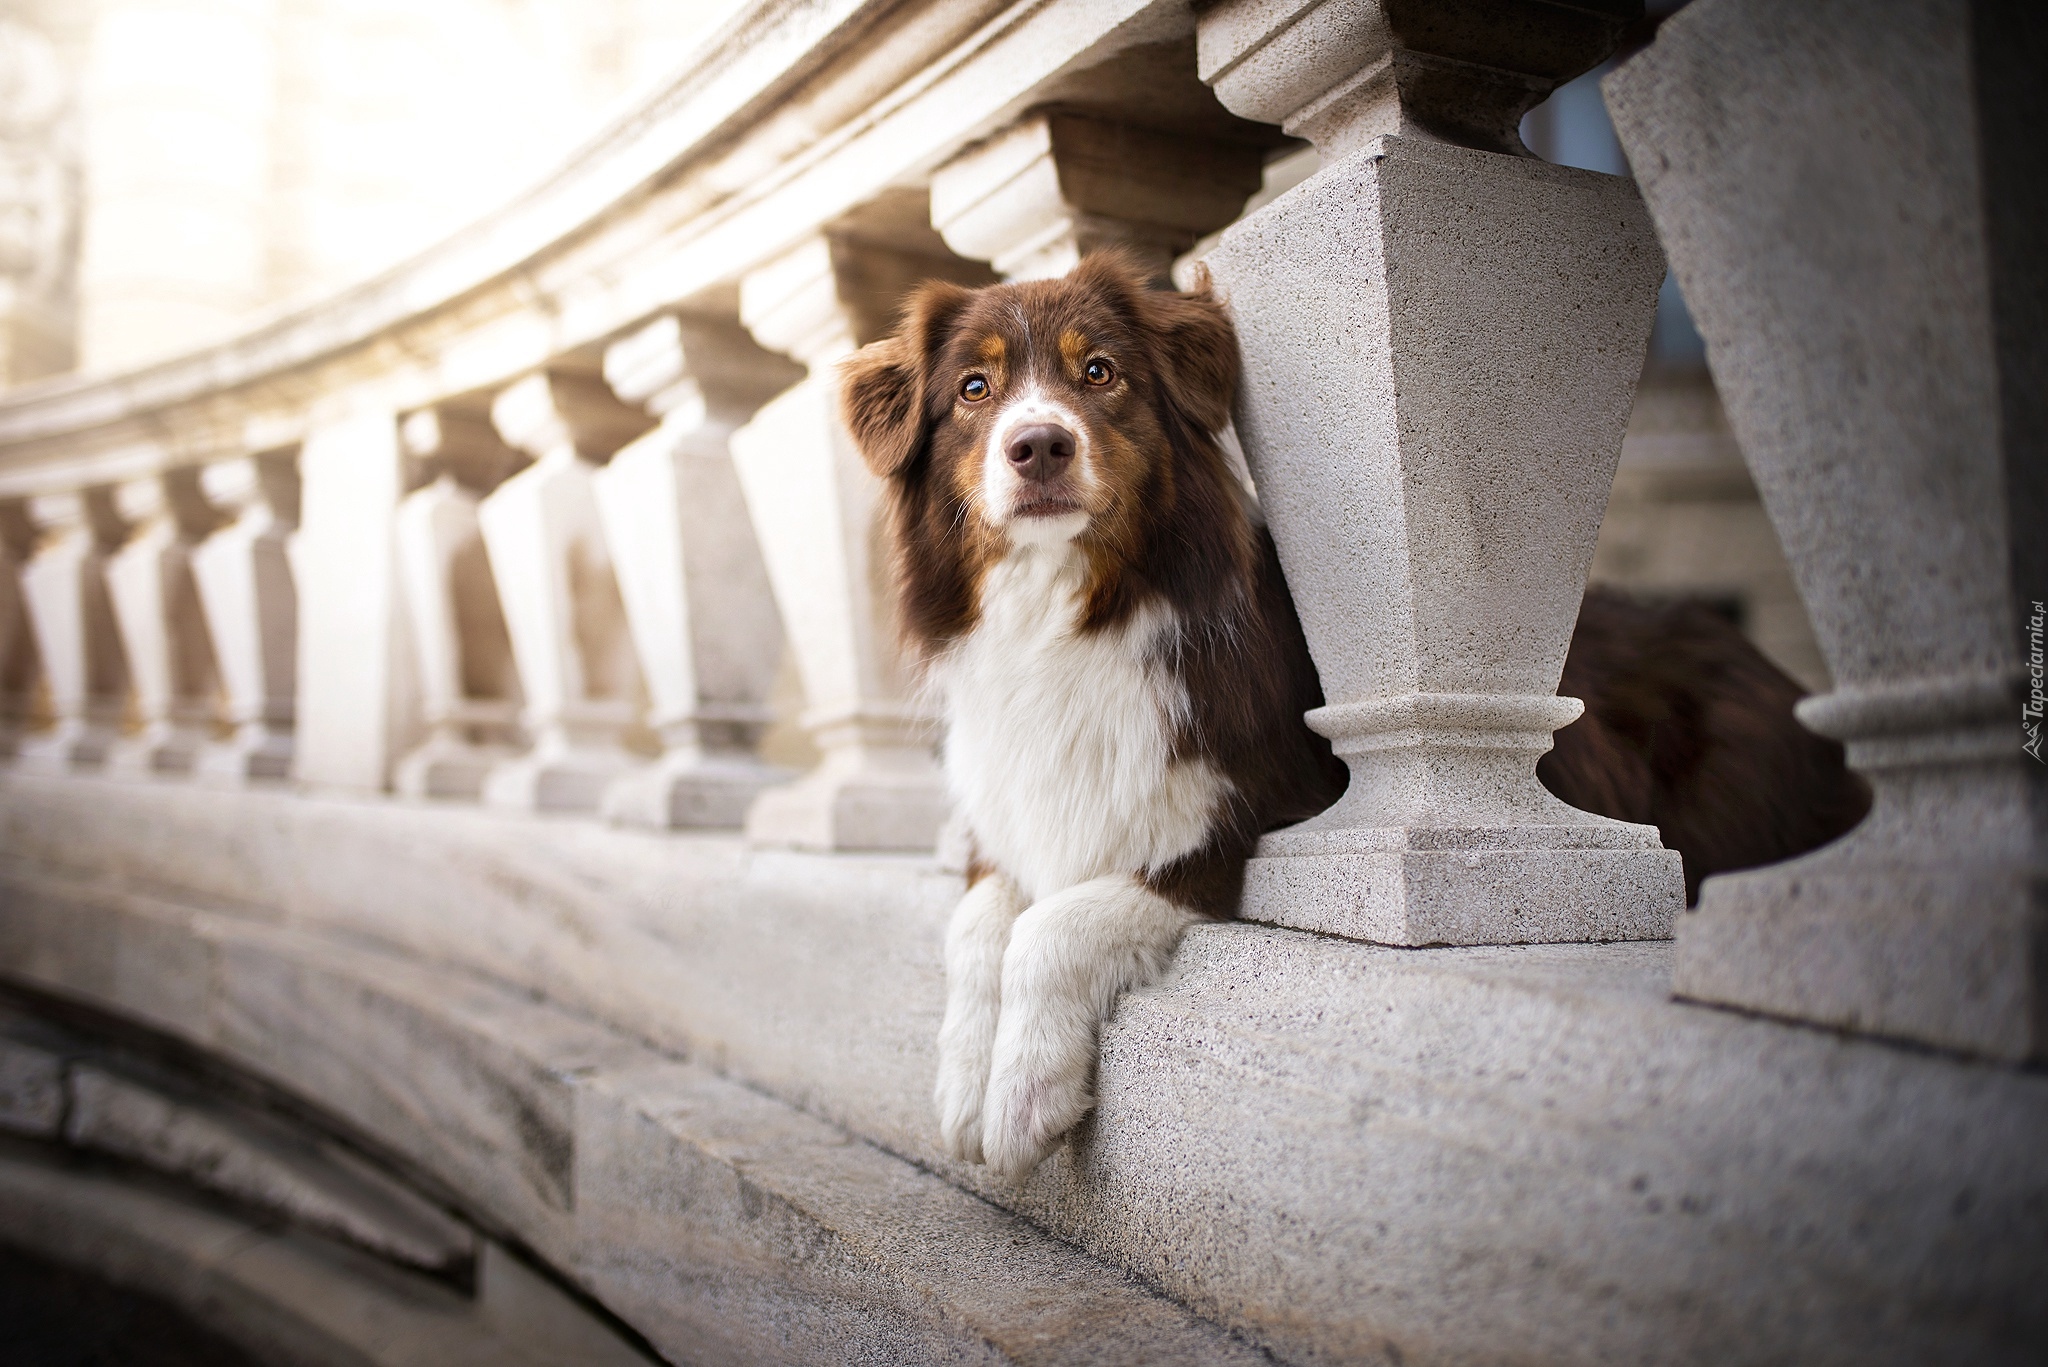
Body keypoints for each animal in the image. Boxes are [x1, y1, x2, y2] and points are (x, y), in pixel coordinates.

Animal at [835, 251, 1875, 1180]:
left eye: (1100, 371)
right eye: (973, 388)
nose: (1039, 444)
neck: (1070, 614)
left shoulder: (1240, 818)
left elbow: (1052, 927)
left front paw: (1020, 1100)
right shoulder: (1013, 811)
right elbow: (977, 922)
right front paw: (964, 1084)